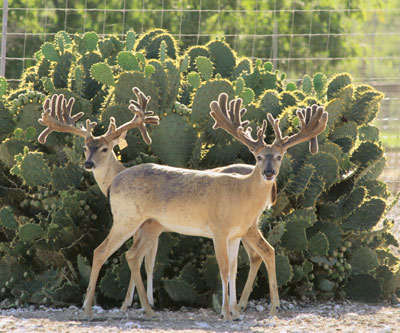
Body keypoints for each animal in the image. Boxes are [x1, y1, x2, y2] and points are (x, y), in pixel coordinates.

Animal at [73, 91, 326, 320]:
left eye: (280, 156)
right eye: (258, 157)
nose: (269, 172)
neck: (241, 194)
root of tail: (114, 182)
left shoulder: (235, 233)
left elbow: (233, 268)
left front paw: (235, 312)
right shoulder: (219, 228)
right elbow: (223, 268)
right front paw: (227, 314)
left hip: (143, 224)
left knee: (129, 255)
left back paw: (144, 310)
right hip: (127, 219)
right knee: (101, 251)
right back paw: (89, 310)